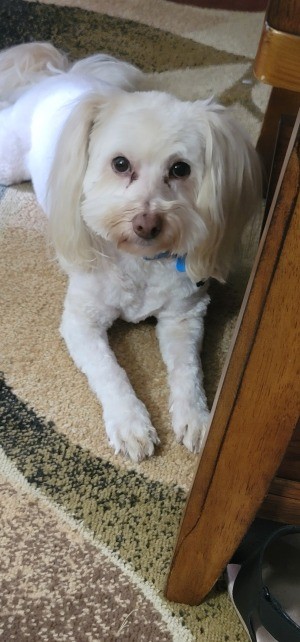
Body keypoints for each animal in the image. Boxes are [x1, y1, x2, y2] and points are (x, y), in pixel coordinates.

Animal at [0, 41, 262, 460]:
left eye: (181, 169)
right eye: (120, 164)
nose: (146, 224)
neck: (141, 262)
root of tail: (61, 76)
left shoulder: (185, 315)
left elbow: (189, 371)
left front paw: (197, 417)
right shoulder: (81, 322)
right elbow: (111, 372)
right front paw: (130, 423)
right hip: (9, 160)